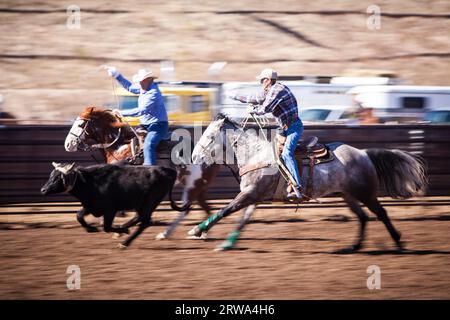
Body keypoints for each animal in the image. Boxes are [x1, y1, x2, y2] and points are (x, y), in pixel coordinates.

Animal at [64, 106, 221, 239]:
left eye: (80, 125)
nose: (67, 144)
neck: (119, 147)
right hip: (198, 188)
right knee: (204, 208)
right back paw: (199, 233)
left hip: (192, 186)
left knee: (188, 210)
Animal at [188, 114, 428, 251]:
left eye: (209, 137)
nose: (194, 157)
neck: (256, 154)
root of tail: (364, 154)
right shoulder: (254, 196)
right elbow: (242, 220)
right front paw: (228, 243)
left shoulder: (249, 194)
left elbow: (224, 210)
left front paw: (197, 230)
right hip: (348, 195)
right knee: (363, 217)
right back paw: (354, 246)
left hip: (365, 193)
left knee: (381, 213)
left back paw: (397, 241)